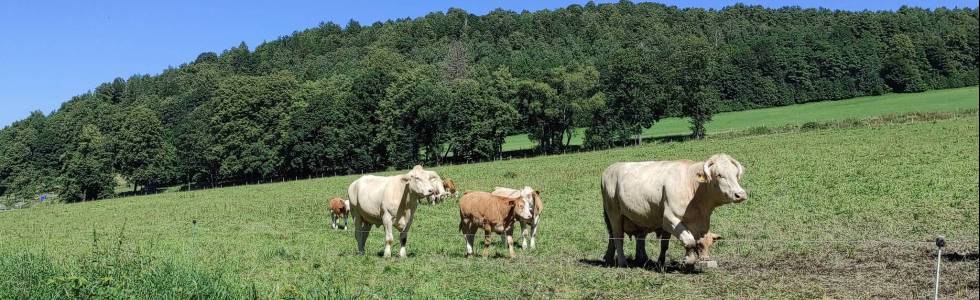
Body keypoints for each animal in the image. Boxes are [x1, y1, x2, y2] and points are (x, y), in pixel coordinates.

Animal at [596, 154, 752, 266]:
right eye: (719, 175)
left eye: (736, 175)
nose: (740, 194)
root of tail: (610, 168)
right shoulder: (669, 219)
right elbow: (689, 240)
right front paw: (688, 260)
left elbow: (672, 243)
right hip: (614, 214)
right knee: (617, 237)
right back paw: (622, 262)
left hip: (638, 216)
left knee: (636, 237)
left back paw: (634, 259)